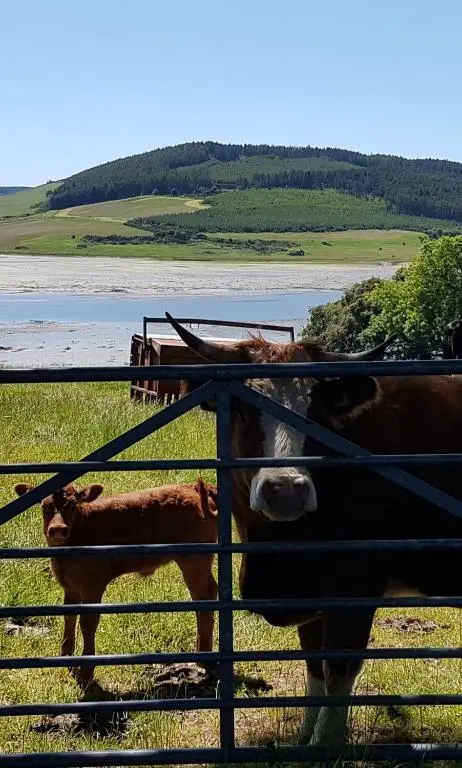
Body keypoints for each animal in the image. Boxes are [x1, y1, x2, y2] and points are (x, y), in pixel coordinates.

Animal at [14, 478, 218, 688]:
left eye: (72, 505)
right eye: (45, 506)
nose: (58, 529)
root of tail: (191, 486)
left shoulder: (92, 586)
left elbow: (87, 624)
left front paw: (85, 674)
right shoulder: (70, 586)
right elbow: (69, 617)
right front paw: (66, 658)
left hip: (194, 561)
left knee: (204, 596)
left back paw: (203, 657)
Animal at [165, 313, 462, 751]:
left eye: (315, 413)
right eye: (244, 408)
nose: (286, 489)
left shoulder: (355, 586)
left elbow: (339, 666)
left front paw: (326, 744)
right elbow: (314, 665)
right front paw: (304, 735)